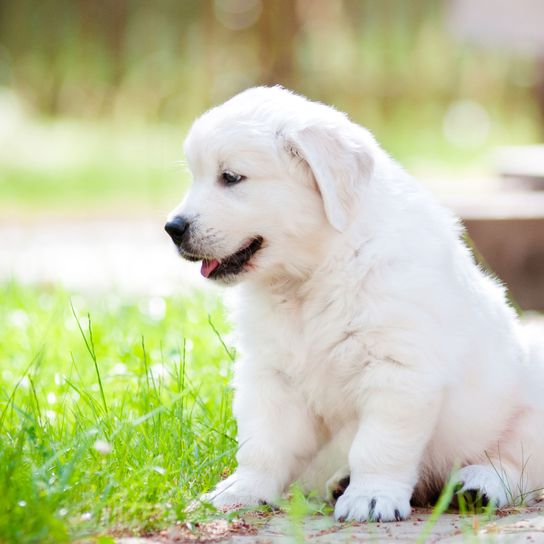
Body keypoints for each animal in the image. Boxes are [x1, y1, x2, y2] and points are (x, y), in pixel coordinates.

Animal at [166, 87, 544, 520]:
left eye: (230, 177)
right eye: (195, 175)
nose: (173, 228)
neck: (315, 273)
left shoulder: (398, 369)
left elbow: (378, 446)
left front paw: (371, 496)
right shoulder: (271, 373)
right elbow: (262, 444)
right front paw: (240, 490)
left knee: (518, 465)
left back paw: (477, 485)